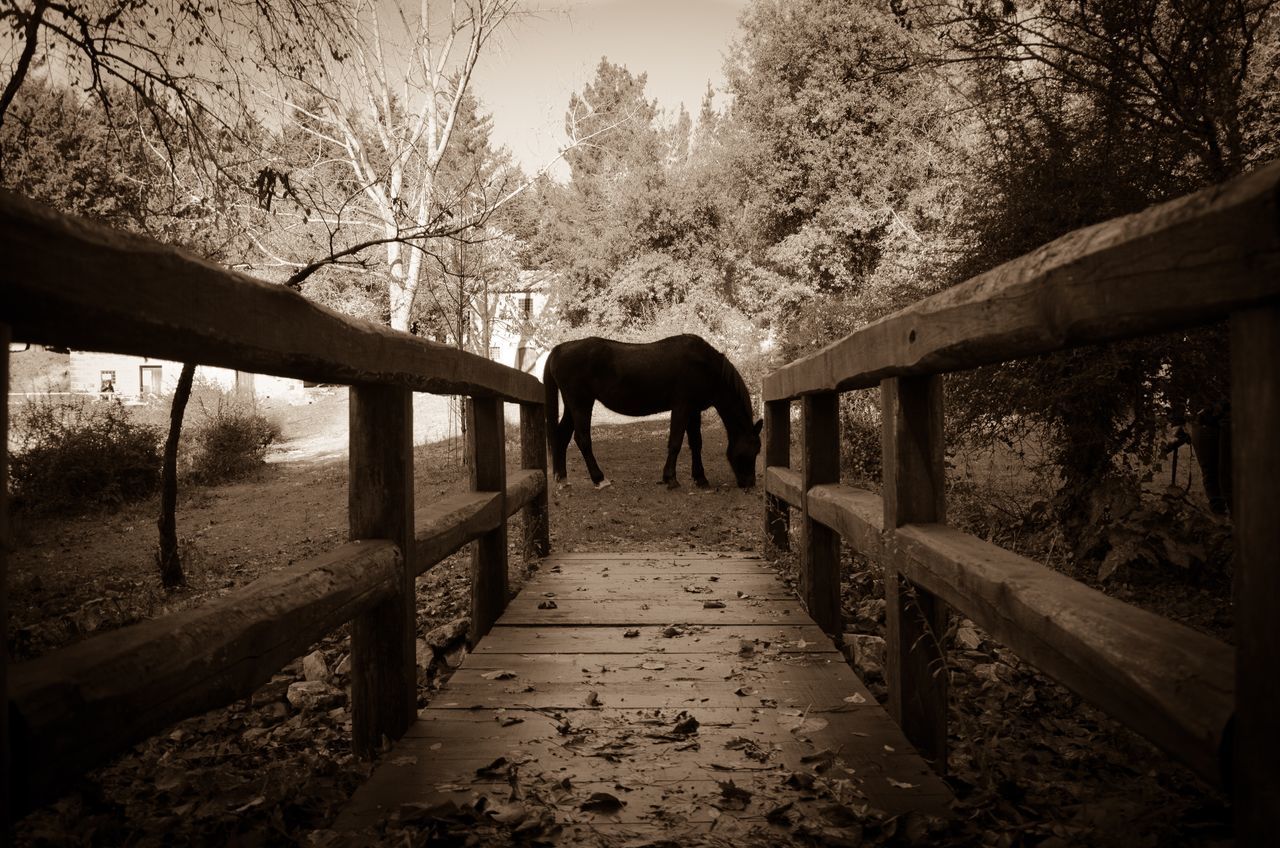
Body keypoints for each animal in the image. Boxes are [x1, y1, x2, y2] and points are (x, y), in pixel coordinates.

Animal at [540, 333, 757, 489]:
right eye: (752, 451)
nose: (750, 484)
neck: (704, 365)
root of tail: (560, 349)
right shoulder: (682, 407)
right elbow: (675, 442)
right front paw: (671, 478)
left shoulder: (694, 410)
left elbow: (696, 443)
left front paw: (700, 478)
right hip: (581, 404)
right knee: (582, 439)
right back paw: (599, 479)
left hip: (572, 406)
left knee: (562, 436)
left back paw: (562, 479)